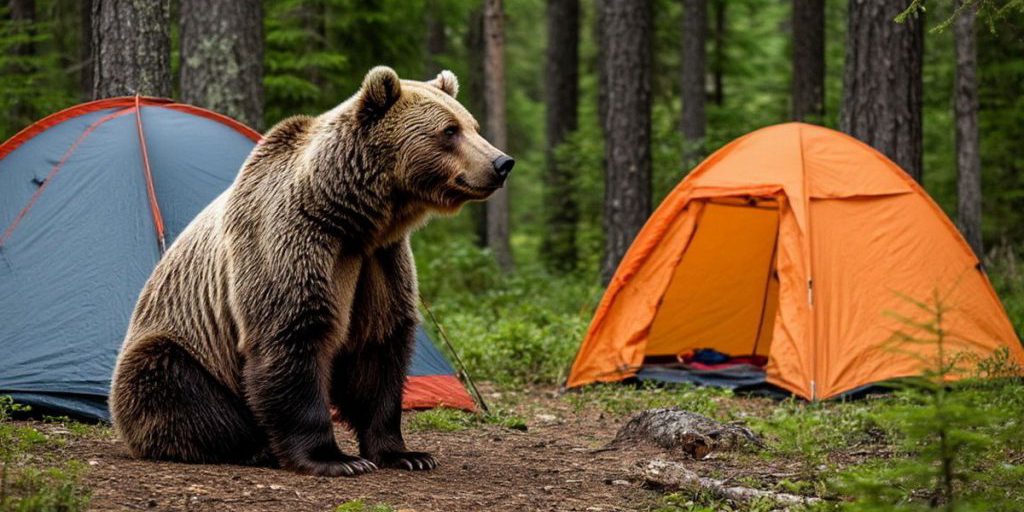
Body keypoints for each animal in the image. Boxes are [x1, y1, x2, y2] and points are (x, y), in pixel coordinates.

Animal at [108, 66, 514, 477]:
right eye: (449, 130)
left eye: (473, 126)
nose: (501, 163)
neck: (353, 219)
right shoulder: (295, 241)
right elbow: (293, 335)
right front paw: (337, 459)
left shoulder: (379, 262)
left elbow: (379, 348)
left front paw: (406, 454)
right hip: (183, 346)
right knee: (170, 380)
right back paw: (252, 447)